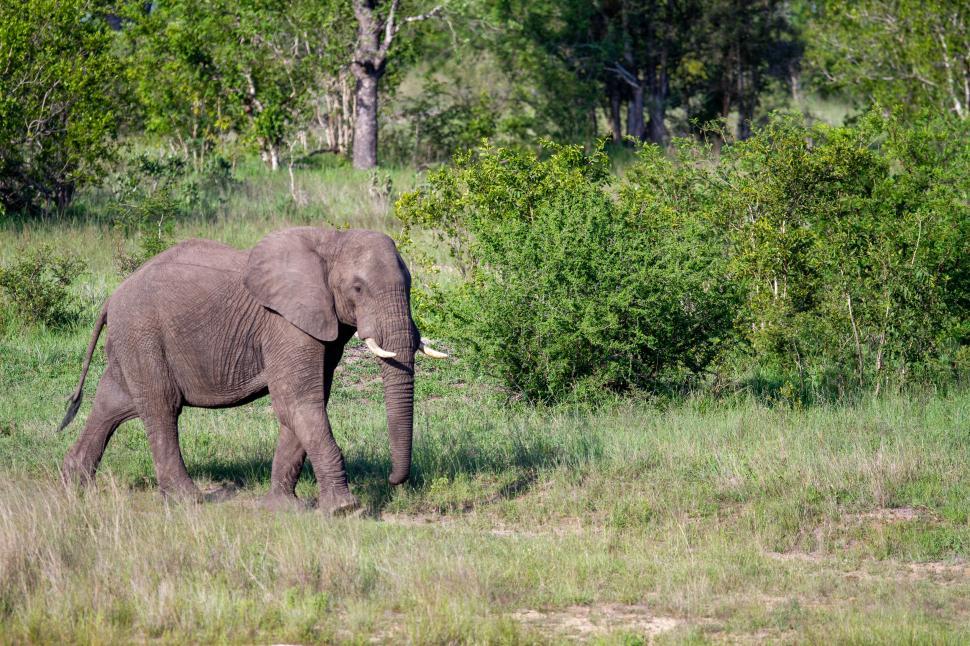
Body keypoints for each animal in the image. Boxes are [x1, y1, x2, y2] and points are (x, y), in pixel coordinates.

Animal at [57, 226, 446, 514]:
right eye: (358, 288)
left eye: (410, 286)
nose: (394, 481)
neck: (333, 239)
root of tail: (112, 297)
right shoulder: (285, 322)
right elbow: (298, 402)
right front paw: (344, 510)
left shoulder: (322, 324)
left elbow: (303, 405)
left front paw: (283, 509)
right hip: (143, 334)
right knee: (161, 407)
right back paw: (188, 500)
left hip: (132, 341)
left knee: (114, 403)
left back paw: (73, 484)